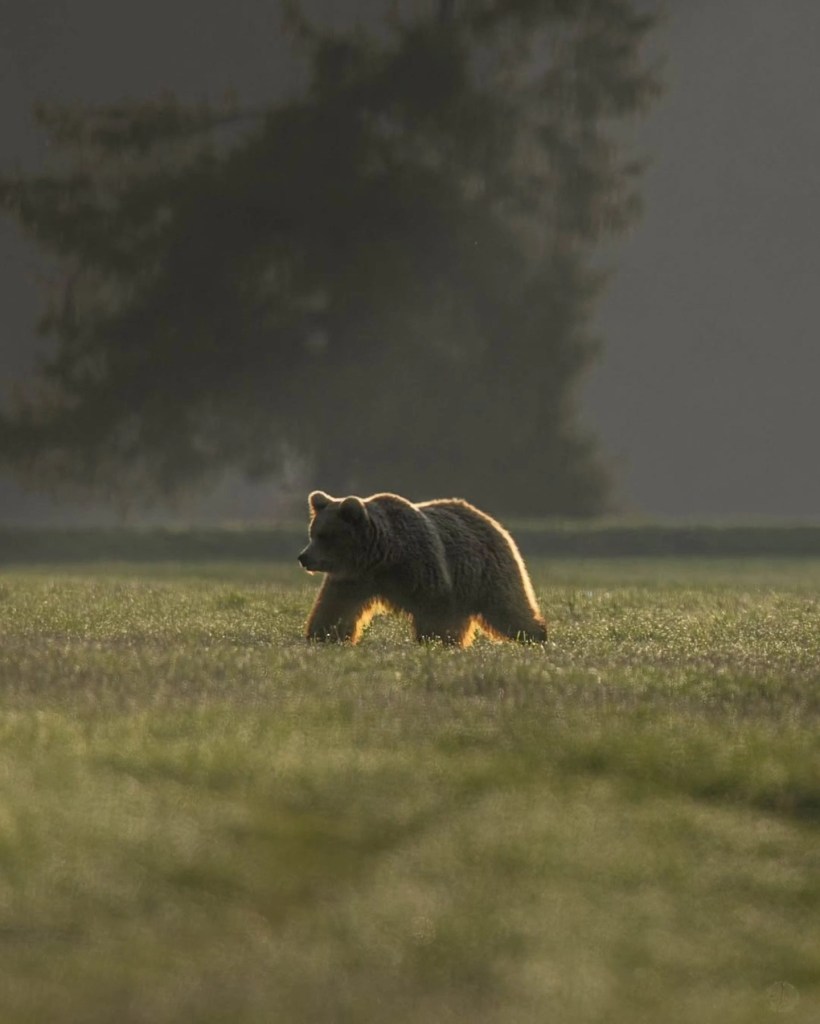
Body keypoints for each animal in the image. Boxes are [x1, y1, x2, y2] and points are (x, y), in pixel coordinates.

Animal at [298, 490, 547, 646]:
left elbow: (435, 608)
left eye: (325, 536)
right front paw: (322, 636)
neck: (382, 557)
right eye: (313, 533)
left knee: (510, 608)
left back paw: (536, 636)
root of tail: (490, 520)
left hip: (487, 573)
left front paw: (436, 640)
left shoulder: (423, 569)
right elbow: (334, 608)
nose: (303, 557)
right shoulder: (354, 580)